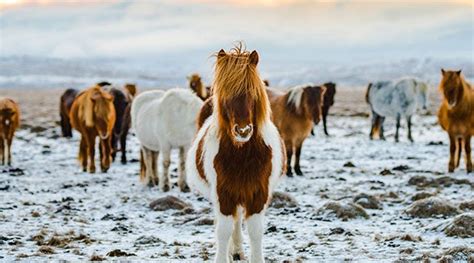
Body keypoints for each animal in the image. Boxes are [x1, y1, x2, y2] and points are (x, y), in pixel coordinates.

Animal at [188, 46, 286, 262]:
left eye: (253, 92)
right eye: (225, 94)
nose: (243, 131)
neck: (242, 156)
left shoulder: (258, 193)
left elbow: (255, 230)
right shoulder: (223, 194)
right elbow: (223, 231)